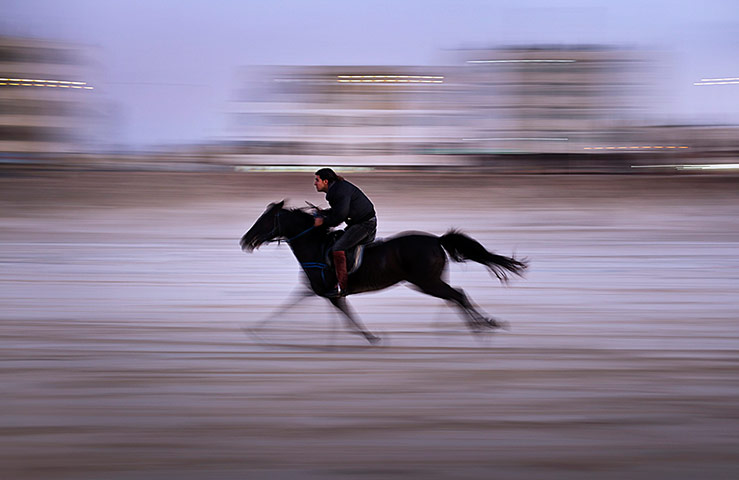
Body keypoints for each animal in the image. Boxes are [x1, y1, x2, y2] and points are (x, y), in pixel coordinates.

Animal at [240, 200, 528, 344]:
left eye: (265, 220)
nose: (245, 240)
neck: (315, 246)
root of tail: (437, 240)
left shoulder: (331, 293)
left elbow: (348, 316)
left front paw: (372, 337)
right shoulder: (315, 291)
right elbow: (288, 305)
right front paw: (256, 328)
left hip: (426, 282)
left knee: (458, 295)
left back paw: (482, 326)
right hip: (428, 282)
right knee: (455, 295)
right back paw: (482, 323)